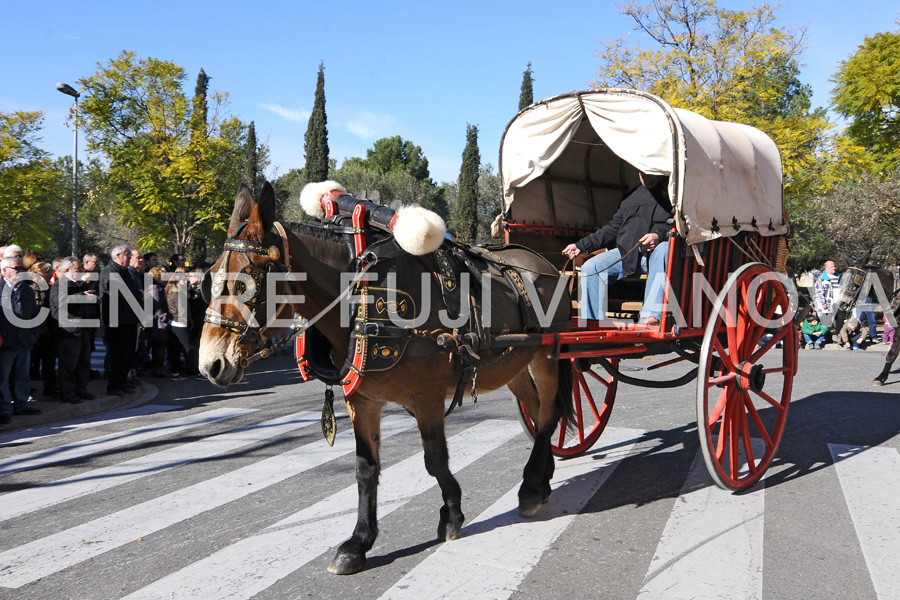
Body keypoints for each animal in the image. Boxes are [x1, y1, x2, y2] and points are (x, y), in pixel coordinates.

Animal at [200, 184, 572, 576]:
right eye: (209, 277)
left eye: (245, 282)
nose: (210, 364)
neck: (360, 294)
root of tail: (545, 266)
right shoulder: (362, 400)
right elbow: (366, 468)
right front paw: (359, 542)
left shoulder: (427, 397)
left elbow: (435, 459)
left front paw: (452, 514)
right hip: (514, 364)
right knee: (538, 412)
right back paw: (541, 479)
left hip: (547, 356)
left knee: (550, 414)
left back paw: (531, 487)